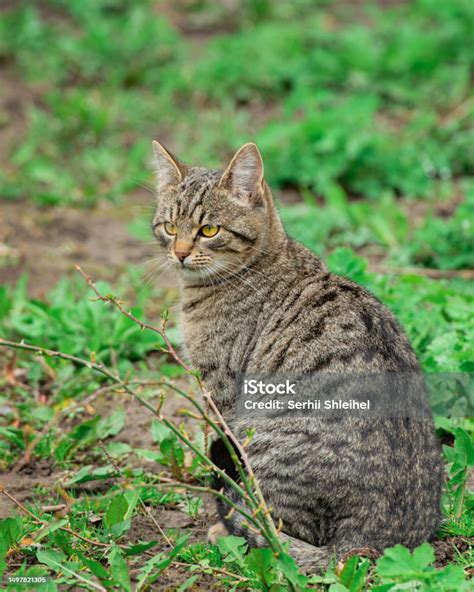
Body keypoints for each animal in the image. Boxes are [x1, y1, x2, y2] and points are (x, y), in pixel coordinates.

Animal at [153, 141, 444, 572]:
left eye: (209, 230)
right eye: (170, 227)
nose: (180, 253)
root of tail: (375, 537)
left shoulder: (222, 390)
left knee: (277, 530)